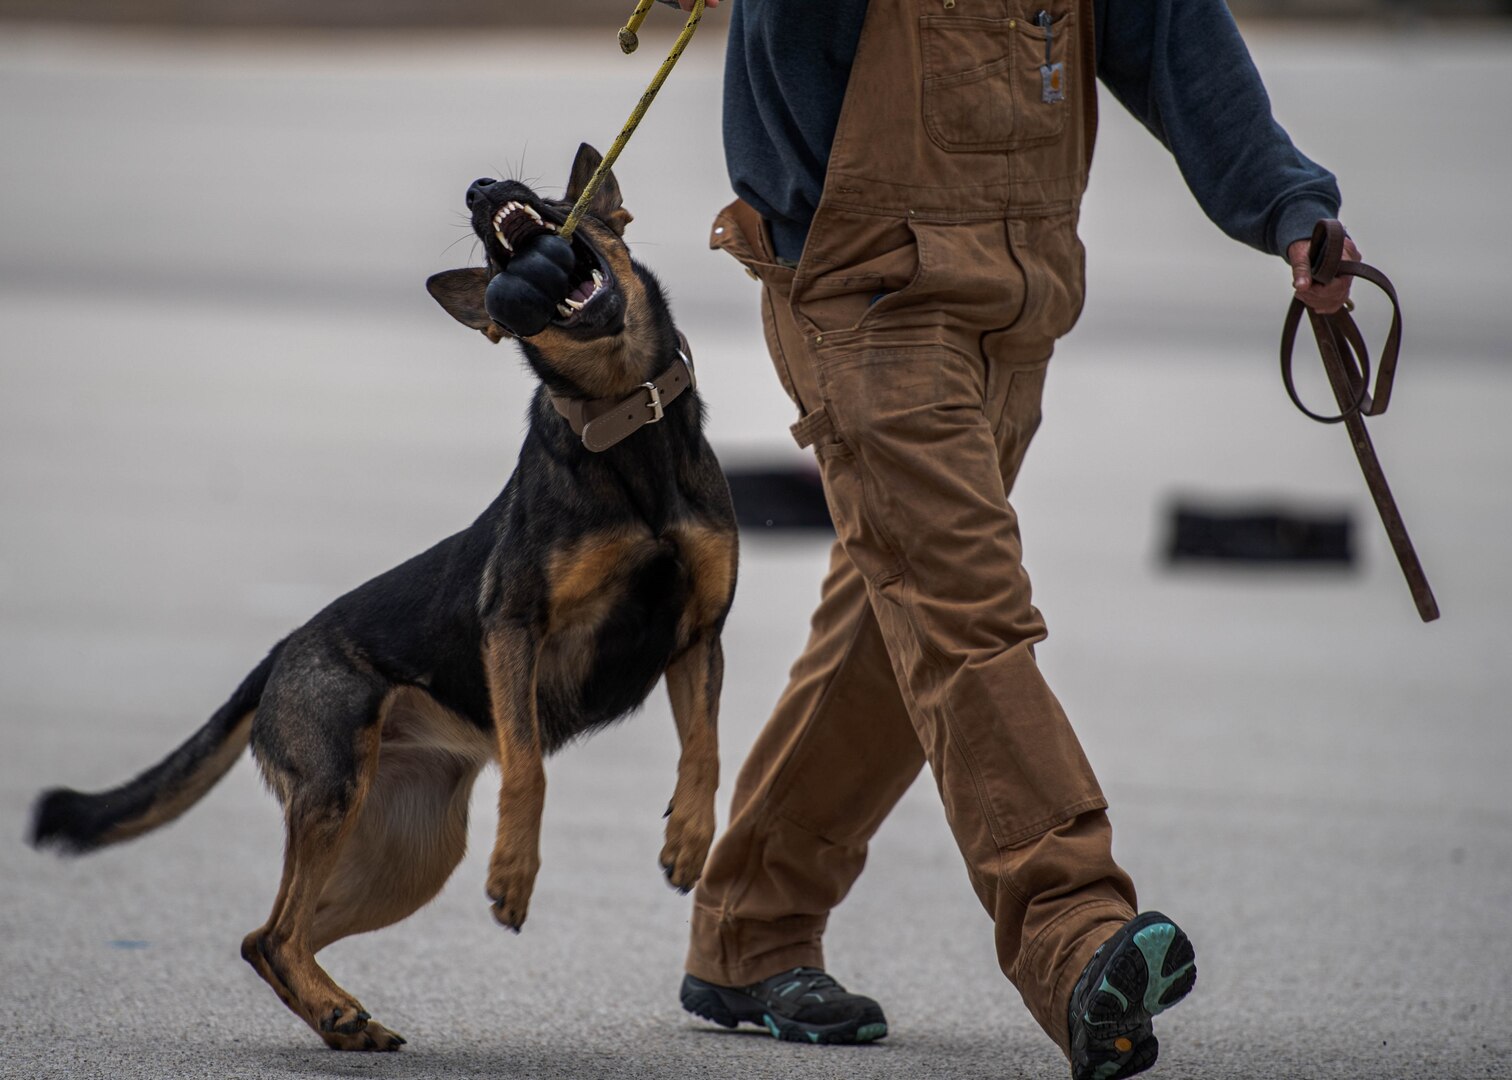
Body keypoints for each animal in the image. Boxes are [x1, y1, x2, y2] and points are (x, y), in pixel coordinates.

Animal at [32, 145, 740, 1052]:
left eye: (557, 202)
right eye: (497, 260)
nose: (482, 188)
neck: (625, 420)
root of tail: (283, 648)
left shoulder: (699, 635)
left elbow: (706, 750)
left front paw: (689, 840)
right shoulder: (514, 626)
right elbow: (528, 770)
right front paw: (515, 874)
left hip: (408, 853)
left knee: (271, 938)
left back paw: (342, 1018)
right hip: (338, 793)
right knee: (274, 933)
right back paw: (339, 1011)